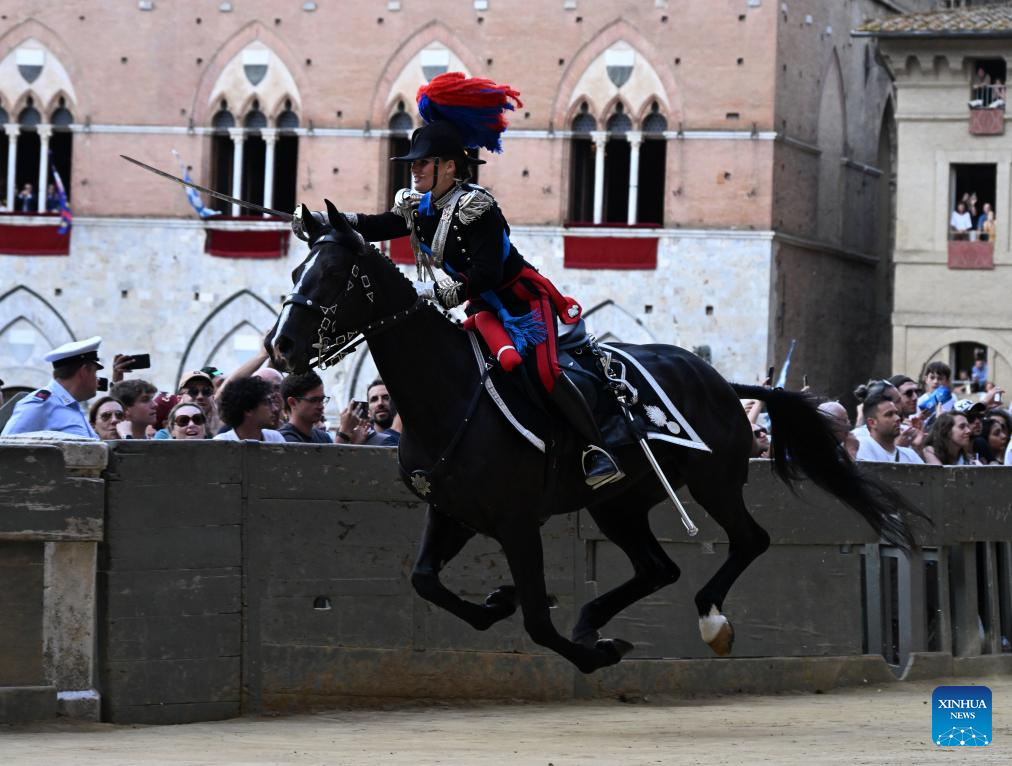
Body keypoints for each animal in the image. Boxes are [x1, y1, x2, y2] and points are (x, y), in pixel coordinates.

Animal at [267, 201, 918, 667]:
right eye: (298, 269)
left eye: (335, 273)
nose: (283, 346)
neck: (448, 395)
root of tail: (724, 383)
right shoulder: (453, 511)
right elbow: (426, 580)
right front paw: (500, 603)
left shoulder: (515, 522)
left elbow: (535, 619)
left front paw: (589, 652)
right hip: (620, 505)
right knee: (659, 568)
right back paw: (594, 620)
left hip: (713, 483)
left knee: (748, 541)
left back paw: (708, 622)